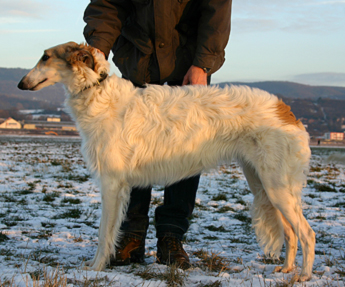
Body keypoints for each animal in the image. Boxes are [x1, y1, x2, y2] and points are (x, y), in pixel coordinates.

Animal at [18, 42, 314, 284]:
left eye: (45, 56)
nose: (21, 84)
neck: (98, 92)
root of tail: (286, 111)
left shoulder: (111, 183)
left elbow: (104, 233)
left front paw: (95, 268)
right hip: (264, 183)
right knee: (291, 232)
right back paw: (287, 269)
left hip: (276, 185)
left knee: (307, 233)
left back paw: (304, 275)